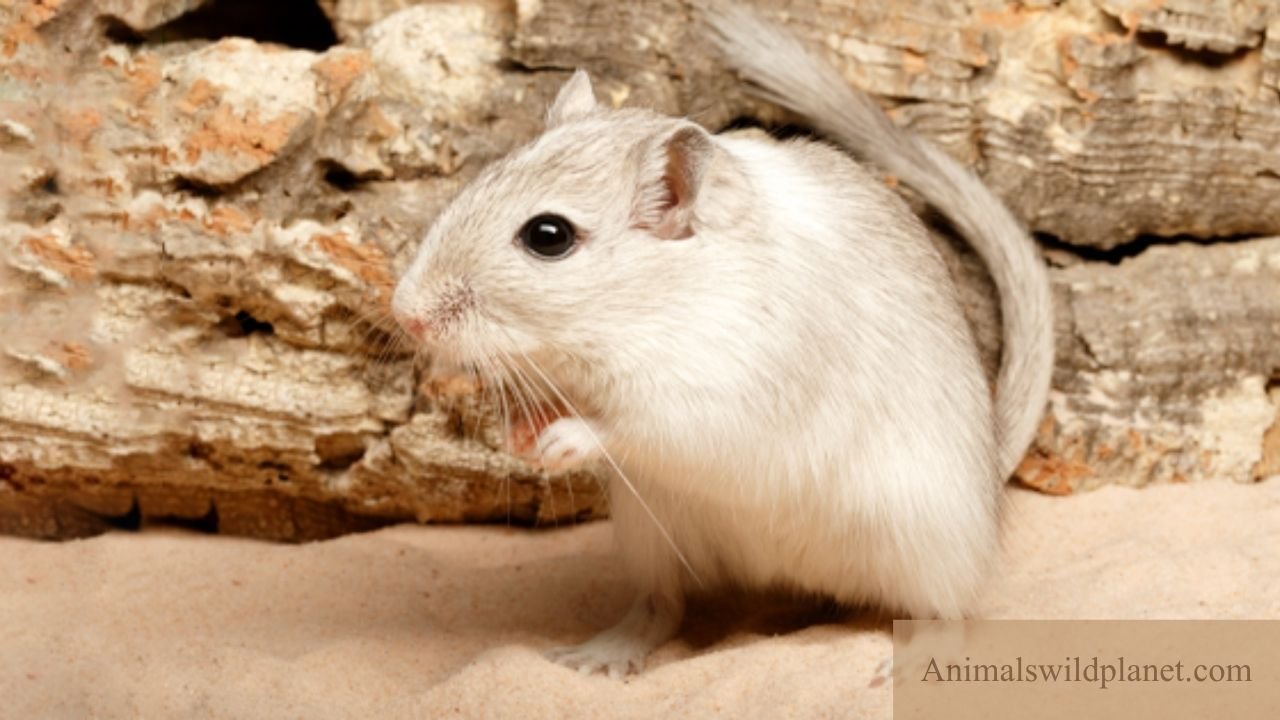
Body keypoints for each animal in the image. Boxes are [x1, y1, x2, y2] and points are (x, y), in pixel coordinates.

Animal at [391, 5, 1053, 677]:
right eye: (481, 180)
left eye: (548, 236)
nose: (404, 313)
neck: (646, 308)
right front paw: (519, 437)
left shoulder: (715, 397)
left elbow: (630, 427)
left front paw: (559, 441)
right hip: (650, 531)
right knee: (660, 607)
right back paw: (598, 656)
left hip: (924, 540)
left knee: (947, 615)